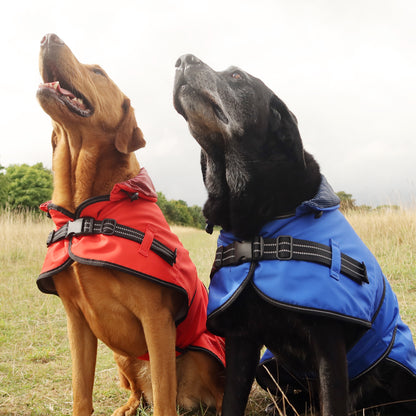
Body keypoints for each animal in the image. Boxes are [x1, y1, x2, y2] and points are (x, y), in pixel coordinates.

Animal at [35, 34, 224, 414]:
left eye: (98, 72)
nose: (47, 37)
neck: (82, 214)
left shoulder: (156, 318)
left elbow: (164, 400)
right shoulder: (76, 321)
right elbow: (81, 394)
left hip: (202, 355)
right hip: (122, 356)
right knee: (138, 391)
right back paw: (127, 406)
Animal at [174, 53, 416, 414]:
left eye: (236, 76)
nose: (182, 59)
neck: (260, 226)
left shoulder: (328, 341)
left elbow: (332, 403)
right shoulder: (242, 339)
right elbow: (232, 401)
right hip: (269, 366)